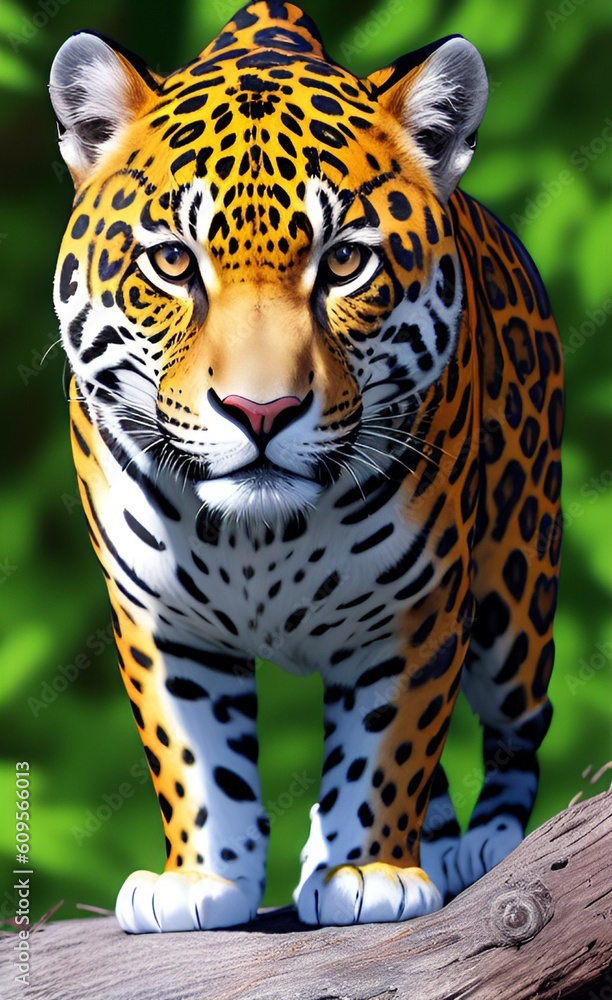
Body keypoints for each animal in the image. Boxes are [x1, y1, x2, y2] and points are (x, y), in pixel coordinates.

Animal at [49, 0, 563, 931]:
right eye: (172, 262)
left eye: (346, 263)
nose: (261, 412)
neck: (259, 537)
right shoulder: (157, 615)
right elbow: (192, 753)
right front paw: (201, 881)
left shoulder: (417, 607)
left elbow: (390, 743)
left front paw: (367, 870)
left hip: (514, 608)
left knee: (518, 727)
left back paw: (480, 846)